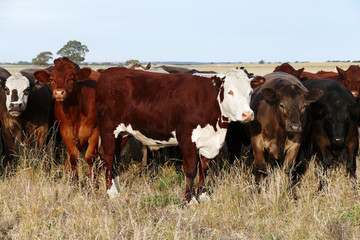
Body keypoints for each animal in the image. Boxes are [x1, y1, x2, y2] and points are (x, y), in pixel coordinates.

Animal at [95, 67, 253, 204]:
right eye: (230, 92)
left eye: (250, 92)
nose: (248, 114)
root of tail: (110, 71)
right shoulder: (187, 139)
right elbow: (191, 170)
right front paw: (190, 200)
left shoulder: (209, 142)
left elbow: (204, 169)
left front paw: (203, 196)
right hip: (109, 129)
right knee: (108, 156)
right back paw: (111, 192)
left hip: (122, 133)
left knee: (114, 157)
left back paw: (117, 188)